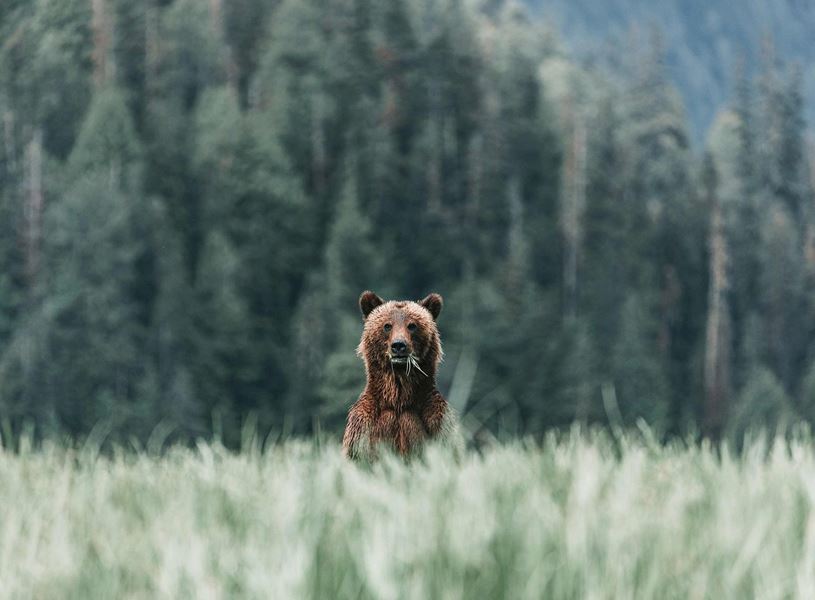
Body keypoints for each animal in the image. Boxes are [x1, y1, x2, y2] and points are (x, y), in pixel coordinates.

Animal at [342, 290, 460, 460]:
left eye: (412, 325)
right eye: (387, 325)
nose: (398, 345)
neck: (399, 397)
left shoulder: (438, 420)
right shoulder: (362, 426)